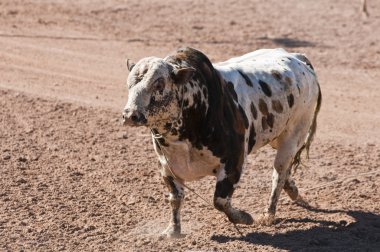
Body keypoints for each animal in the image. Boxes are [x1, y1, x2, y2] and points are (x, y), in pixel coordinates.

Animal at [121, 47, 320, 238]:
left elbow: (220, 201)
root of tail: (298, 57)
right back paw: (292, 191)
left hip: (293, 136)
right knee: (285, 172)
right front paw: (173, 231)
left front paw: (245, 218)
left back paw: (268, 214)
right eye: (129, 84)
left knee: (279, 173)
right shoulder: (167, 169)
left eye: (159, 84)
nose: (130, 115)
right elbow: (175, 199)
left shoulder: (234, 162)